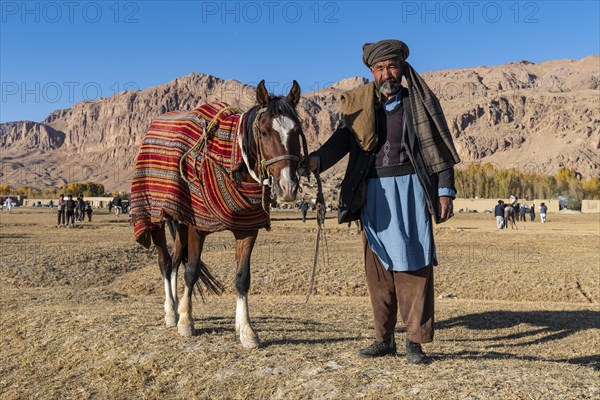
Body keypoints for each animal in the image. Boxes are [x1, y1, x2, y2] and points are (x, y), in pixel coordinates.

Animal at [133, 80, 308, 346]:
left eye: (297, 131)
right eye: (264, 132)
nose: (288, 187)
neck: (230, 160)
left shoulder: (247, 229)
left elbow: (242, 277)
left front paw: (246, 330)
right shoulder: (197, 226)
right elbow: (192, 271)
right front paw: (187, 321)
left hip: (180, 221)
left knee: (175, 260)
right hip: (157, 217)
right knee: (165, 262)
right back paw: (171, 312)